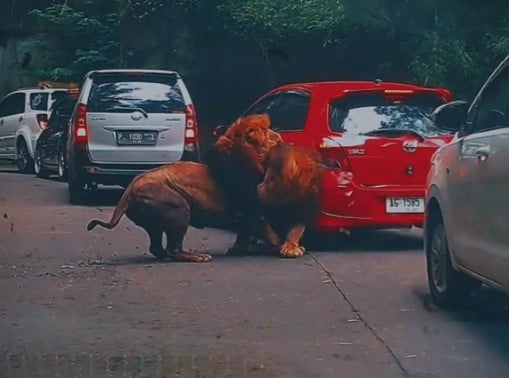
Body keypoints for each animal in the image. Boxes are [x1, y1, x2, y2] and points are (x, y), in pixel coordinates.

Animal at [85, 114, 280, 262]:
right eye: (268, 133)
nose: (279, 136)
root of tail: (128, 191)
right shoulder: (252, 208)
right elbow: (268, 232)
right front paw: (279, 247)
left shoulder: (246, 215)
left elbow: (245, 233)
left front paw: (239, 249)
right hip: (179, 209)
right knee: (174, 249)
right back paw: (198, 256)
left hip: (154, 224)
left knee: (157, 248)